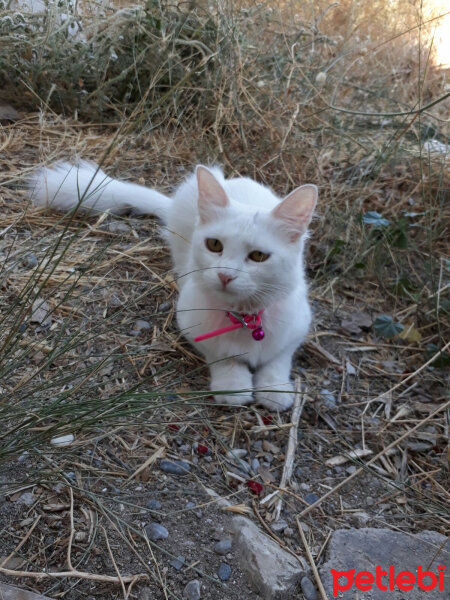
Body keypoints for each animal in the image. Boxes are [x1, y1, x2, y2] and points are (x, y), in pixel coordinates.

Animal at [29, 161, 316, 412]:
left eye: (258, 256)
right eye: (214, 245)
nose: (225, 275)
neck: (243, 317)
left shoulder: (297, 326)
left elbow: (278, 360)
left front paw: (275, 390)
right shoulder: (192, 322)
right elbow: (223, 356)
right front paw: (234, 386)